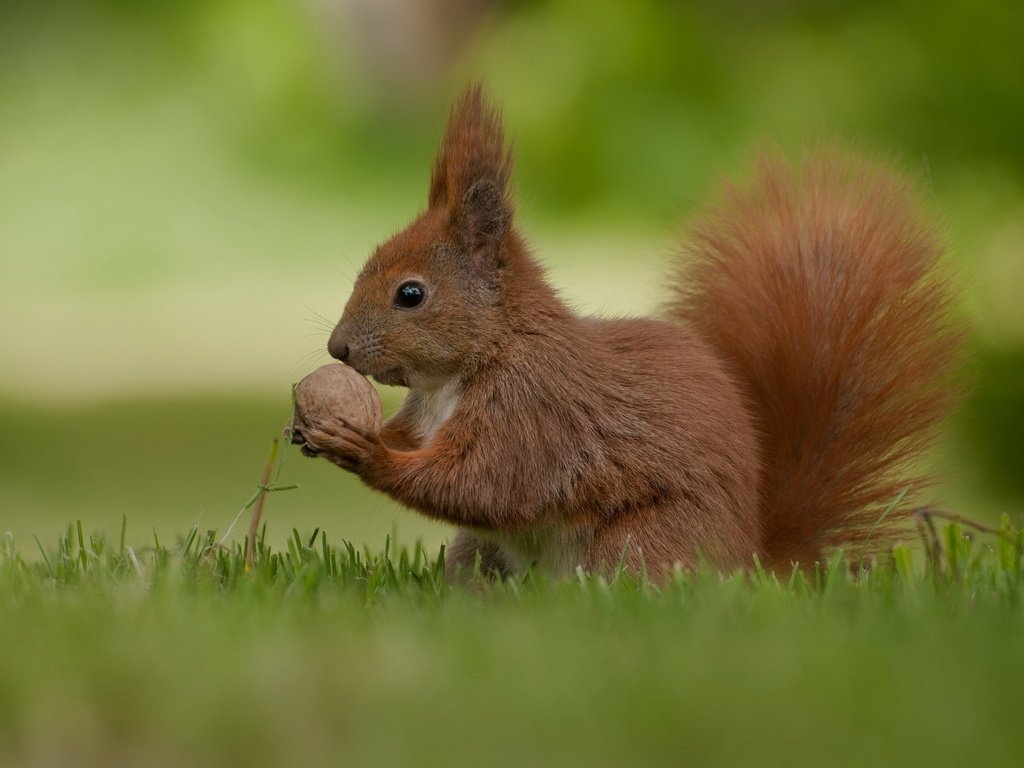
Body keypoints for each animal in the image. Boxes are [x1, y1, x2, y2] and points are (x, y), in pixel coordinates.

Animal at [292, 85, 962, 577]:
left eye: (411, 294)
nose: (337, 348)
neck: (461, 372)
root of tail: (751, 563)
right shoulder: (430, 414)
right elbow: (423, 449)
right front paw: (317, 428)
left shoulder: (535, 413)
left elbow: (483, 484)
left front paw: (368, 452)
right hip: (478, 555)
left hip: (638, 543)